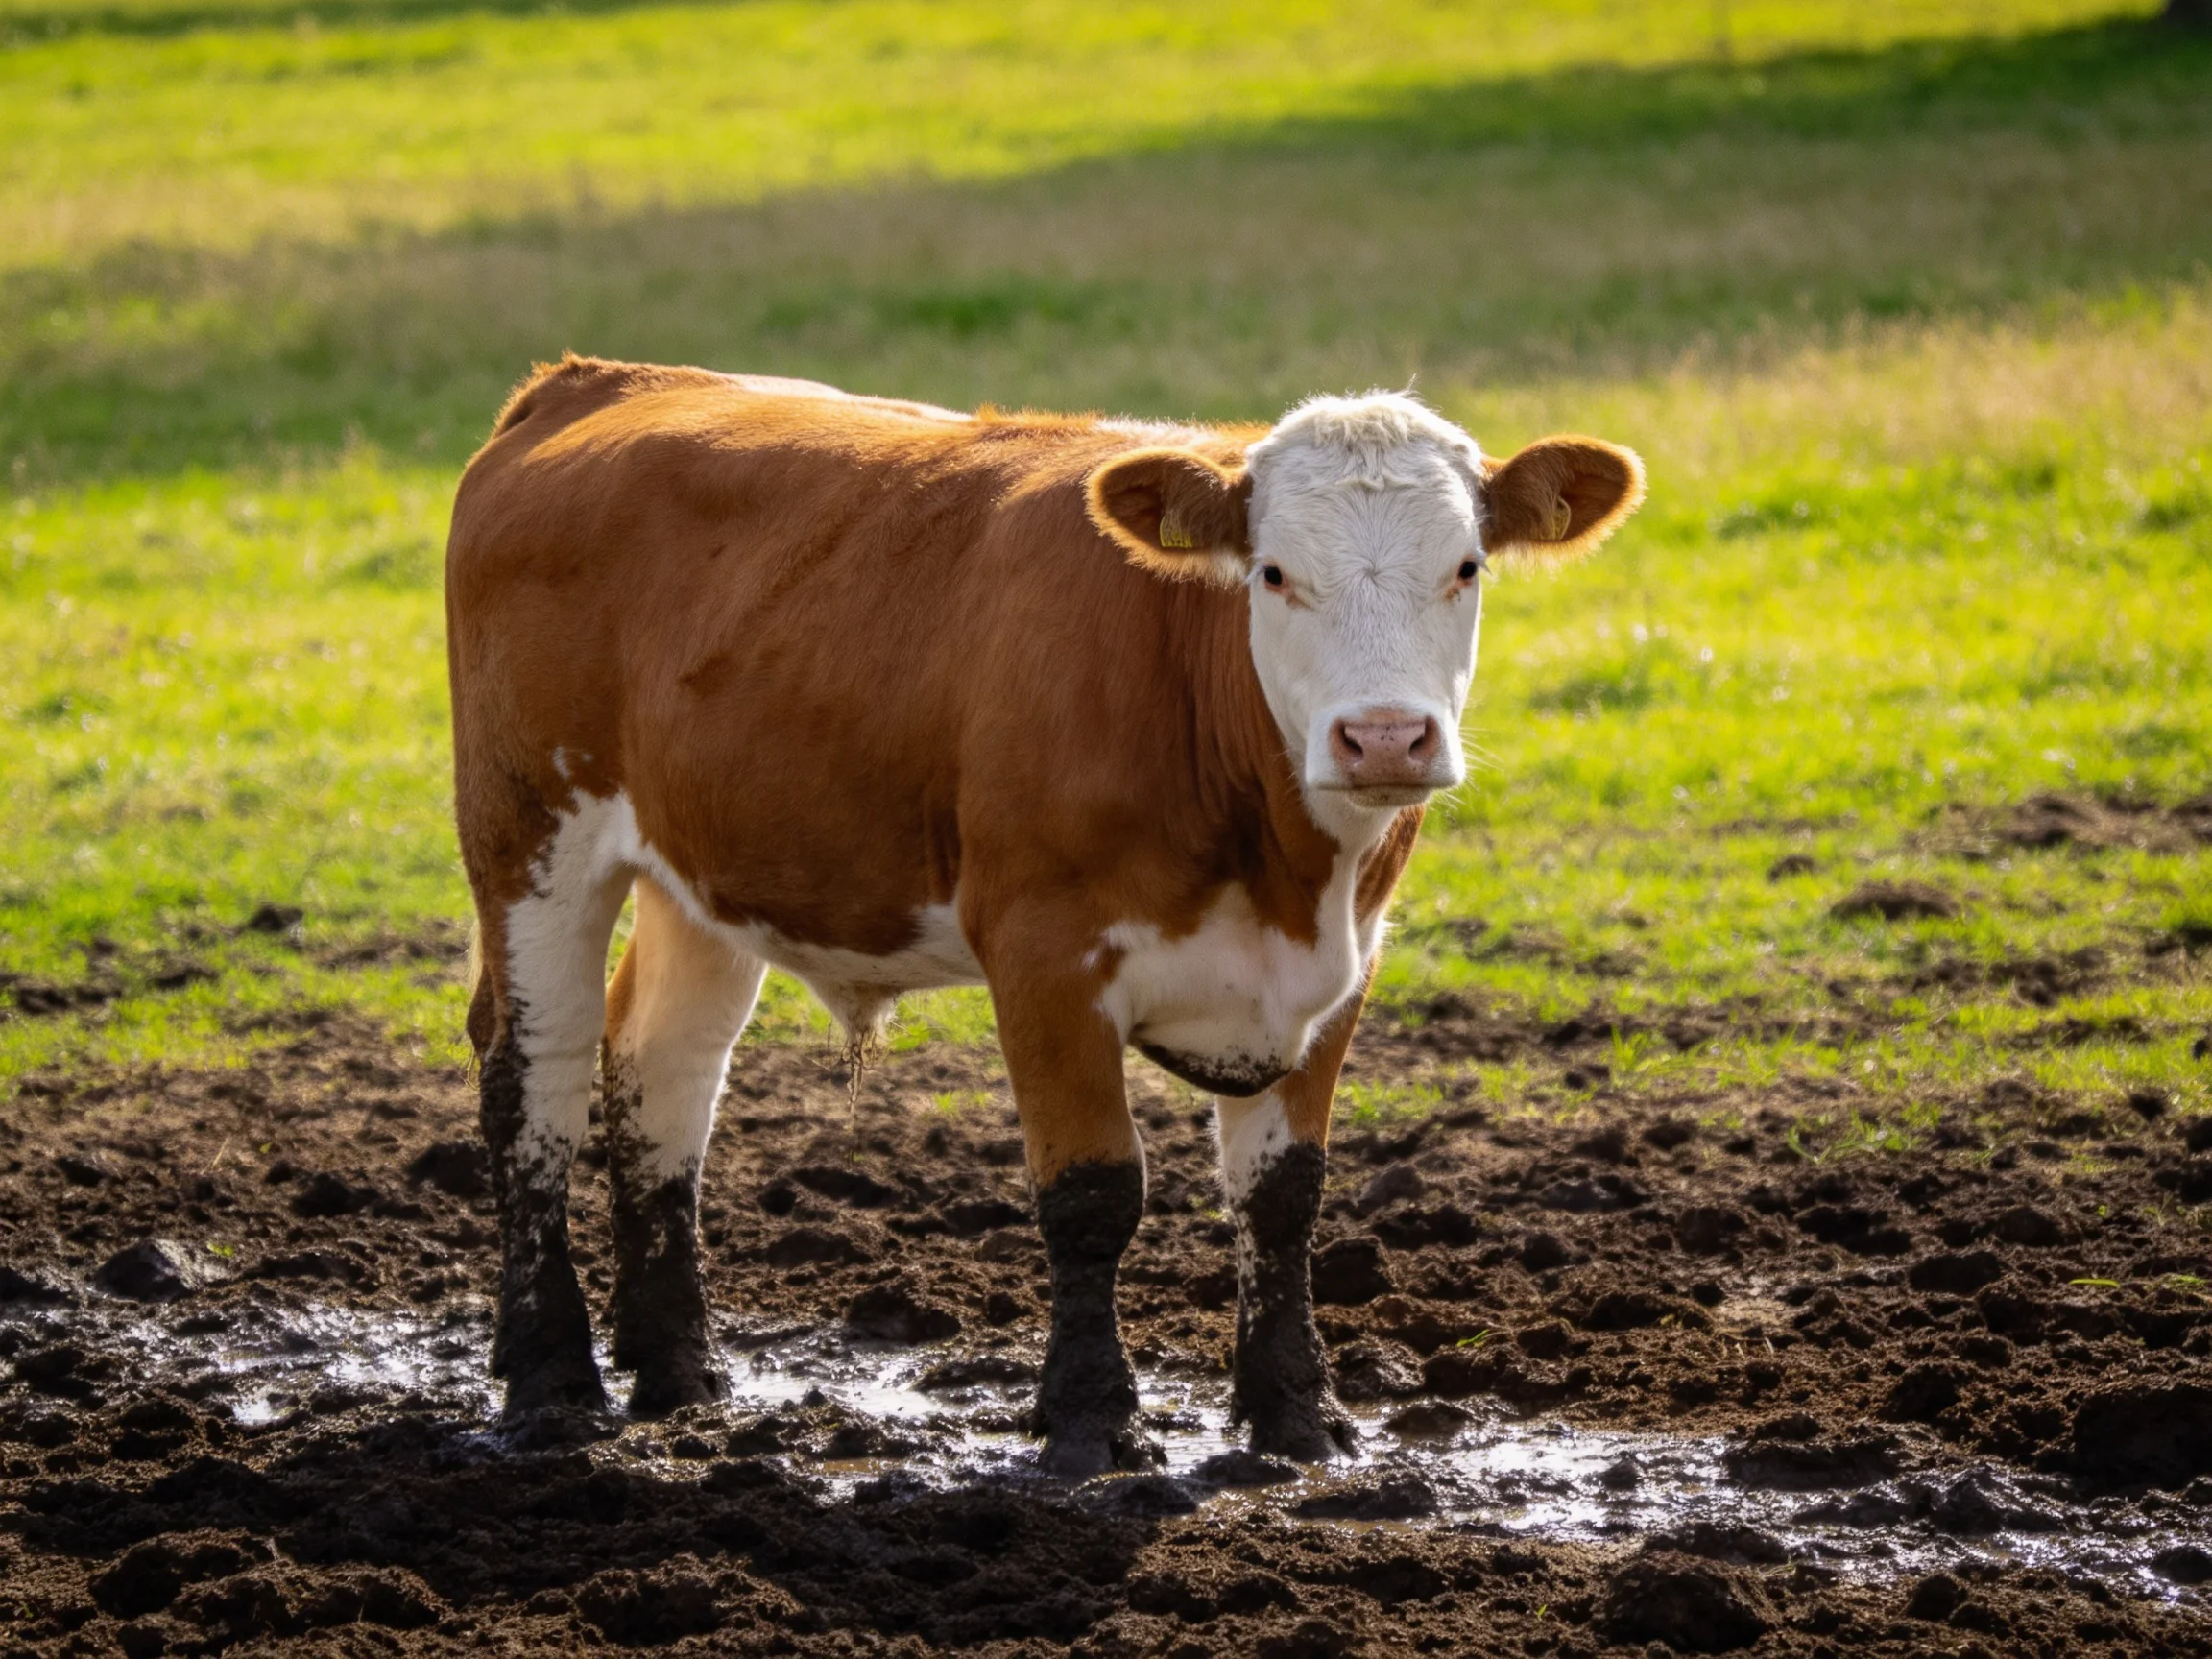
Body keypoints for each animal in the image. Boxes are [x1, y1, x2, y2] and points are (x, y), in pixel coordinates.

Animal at [446, 356, 1642, 1474]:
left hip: (701, 865)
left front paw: (1296, 1414)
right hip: (530, 840)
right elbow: (1093, 1193)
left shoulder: (1341, 965)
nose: (1385, 738)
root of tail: (596, 383)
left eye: (1466, 566)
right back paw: (551, 1378)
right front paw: (1091, 1421)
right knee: (534, 1081)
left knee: (665, 1072)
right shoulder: (1043, 953)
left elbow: (1281, 1198)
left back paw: (679, 1367)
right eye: (1273, 572)